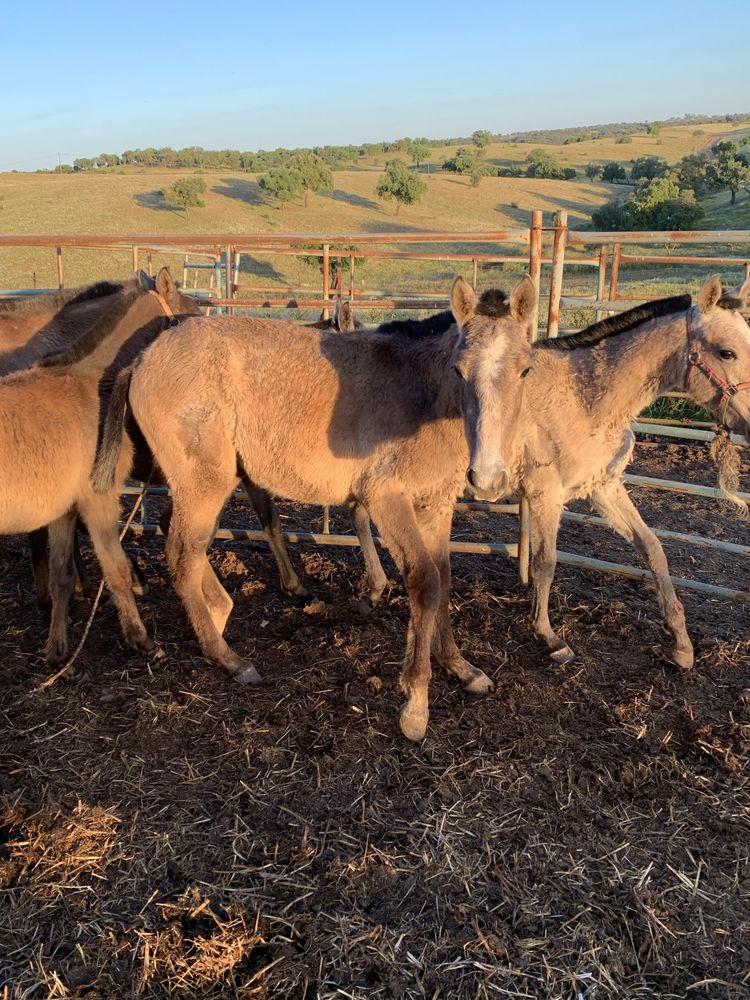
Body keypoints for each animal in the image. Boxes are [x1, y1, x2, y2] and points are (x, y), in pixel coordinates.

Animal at [0, 270, 203, 668]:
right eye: (193, 316)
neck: (87, 383)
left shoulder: (63, 509)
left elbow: (62, 575)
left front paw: (57, 651)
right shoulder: (99, 502)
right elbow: (116, 568)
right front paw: (141, 640)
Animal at [95, 278, 540, 740]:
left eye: (525, 370)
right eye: (459, 370)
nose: (487, 478)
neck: (421, 395)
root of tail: (143, 359)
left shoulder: (435, 505)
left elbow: (444, 578)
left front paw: (461, 667)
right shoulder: (386, 499)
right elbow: (425, 582)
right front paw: (416, 703)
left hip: (203, 483)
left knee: (184, 540)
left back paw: (218, 611)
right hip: (205, 482)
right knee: (182, 554)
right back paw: (229, 658)